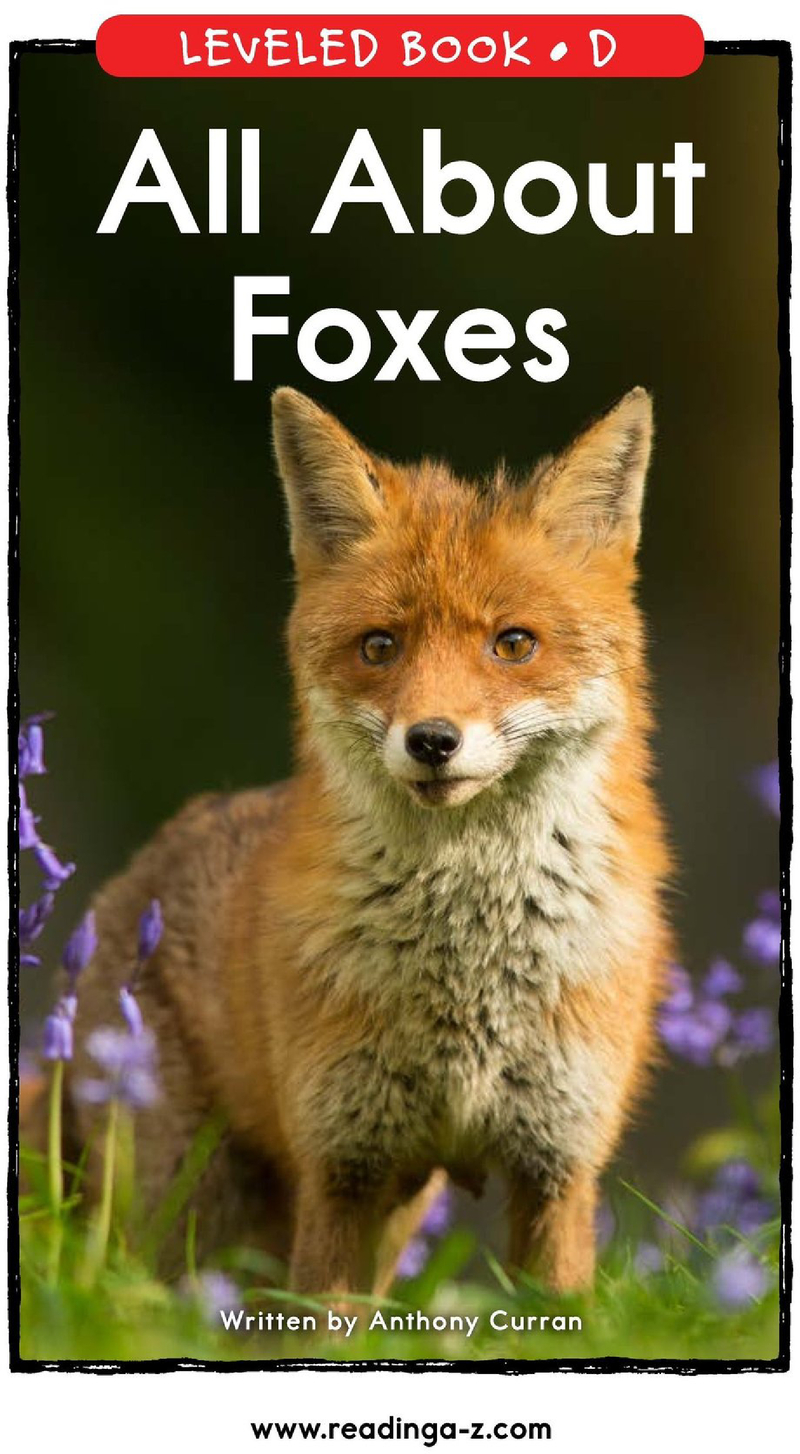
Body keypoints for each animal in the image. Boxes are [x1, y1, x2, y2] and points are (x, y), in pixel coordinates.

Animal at [52, 385, 671, 1296]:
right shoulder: (344, 1166)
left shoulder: (556, 1166)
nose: (433, 740)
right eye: (381, 645)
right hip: (190, 1215)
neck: (468, 968)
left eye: (513, 643)